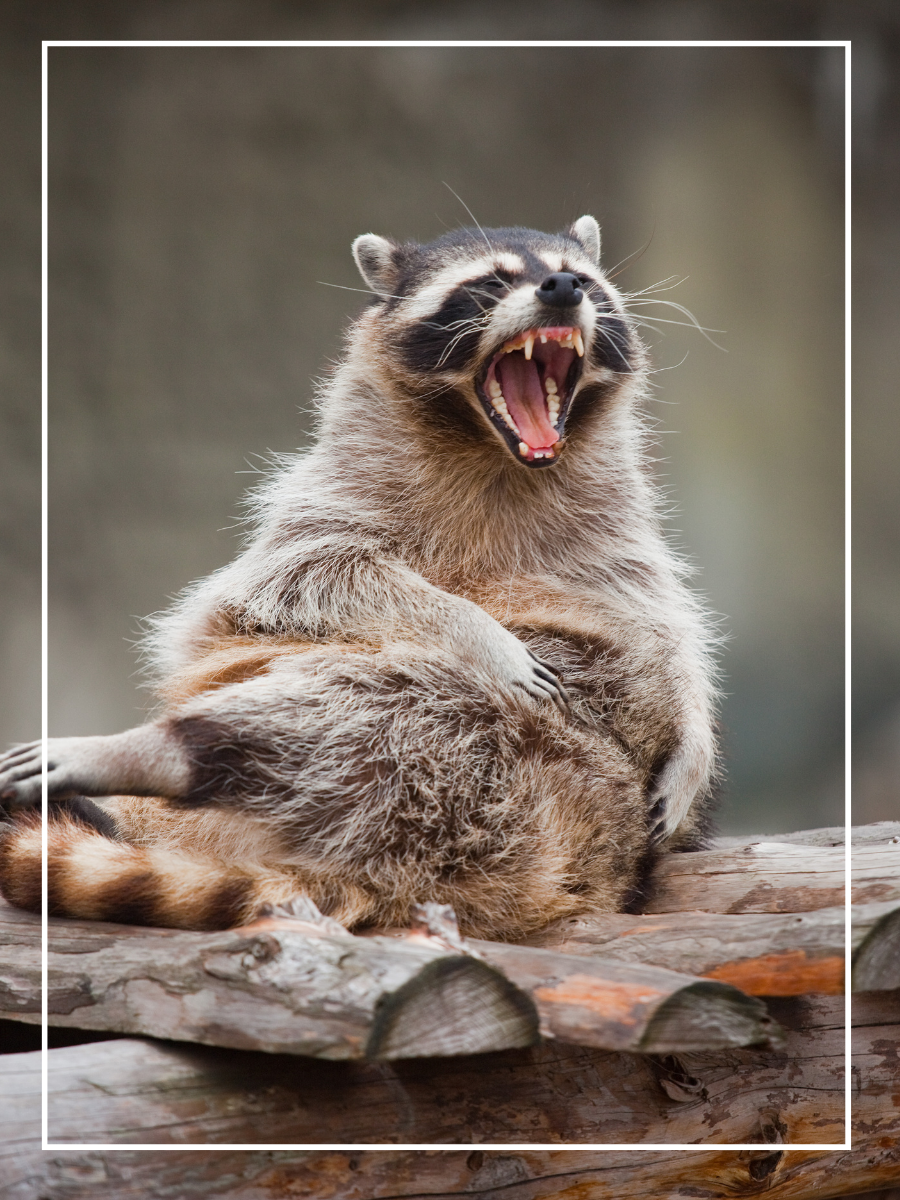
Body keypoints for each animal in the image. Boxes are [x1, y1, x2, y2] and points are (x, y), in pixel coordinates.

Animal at [0, 216, 718, 940]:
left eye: (585, 279)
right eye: (491, 282)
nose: (564, 288)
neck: (499, 454)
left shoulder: (617, 529)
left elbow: (663, 625)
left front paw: (695, 734)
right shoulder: (330, 491)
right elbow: (313, 574)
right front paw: (473, 627)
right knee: (356, 697)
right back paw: (164, 748)